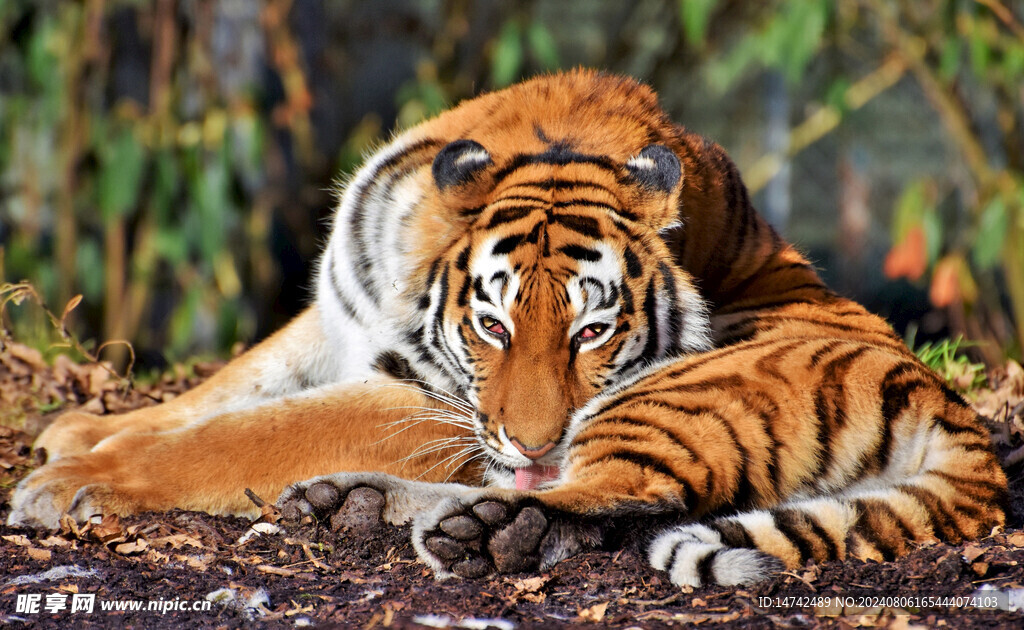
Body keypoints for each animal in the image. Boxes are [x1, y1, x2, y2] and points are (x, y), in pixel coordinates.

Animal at [8, 70, 1006, 588]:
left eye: (593, 333)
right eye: (490, 323)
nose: (532, 437)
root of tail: (960, 424)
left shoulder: (420, 396)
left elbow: (249, 434)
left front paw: (74, 482)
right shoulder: (340, 319)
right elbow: (230, 388)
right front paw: (79, 432)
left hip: (669, 403)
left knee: (612, 498)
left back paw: (467, 528)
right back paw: (361, 506)